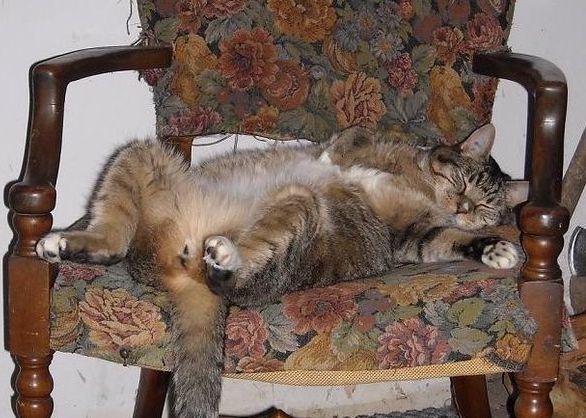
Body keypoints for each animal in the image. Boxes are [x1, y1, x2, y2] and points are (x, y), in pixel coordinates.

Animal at [36, 123, 526, 417]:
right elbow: (348, 143)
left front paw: (494, 248)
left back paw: (222, 253)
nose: (463, 208)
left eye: (485, 206)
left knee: (227, 273)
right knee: (113, 238)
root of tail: (177, 265)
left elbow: (447, 239)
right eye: (462, 181)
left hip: (296, 209)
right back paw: (62, 241)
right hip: (139, 157)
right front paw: (336, 160)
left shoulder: (411, 232)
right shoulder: (372, 160)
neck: (420, 182)